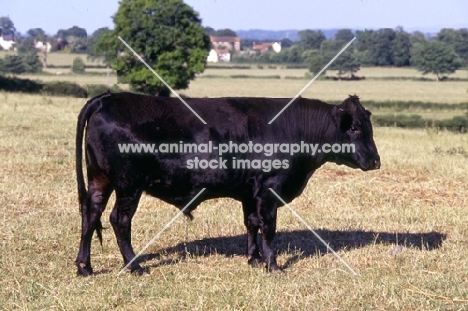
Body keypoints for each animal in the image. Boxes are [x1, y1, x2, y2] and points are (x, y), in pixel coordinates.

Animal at [74, 92, 380, 276]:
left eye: (369, 127)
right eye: (354, 128)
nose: (376, 160)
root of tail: (108, 98)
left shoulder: (250, 193)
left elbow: (251, 224)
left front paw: (254, 259)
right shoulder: (269, 190)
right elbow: (269, 228)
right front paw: (273, 266)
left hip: (100, 179)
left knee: (90, 214)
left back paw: (85, 266)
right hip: (128, 185)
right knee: (119, 220)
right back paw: (134, 265)